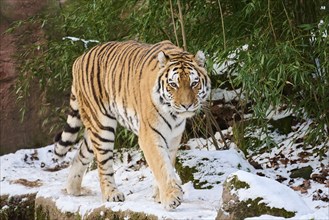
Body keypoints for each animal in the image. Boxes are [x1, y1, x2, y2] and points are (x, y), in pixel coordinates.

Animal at [52, 40, 209, 210]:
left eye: (194, 83)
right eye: (173, 84)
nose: (186, 105)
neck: (174, 115)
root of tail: (79, 59)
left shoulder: (174, 138)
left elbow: (168, 163)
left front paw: (159, 196)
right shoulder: (150, 135)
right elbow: (161, 165)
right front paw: (171, 197)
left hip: (93, 129)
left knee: (79, 155)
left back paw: (73, 189)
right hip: (102, 126)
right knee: (103, 164)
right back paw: (111, 194)